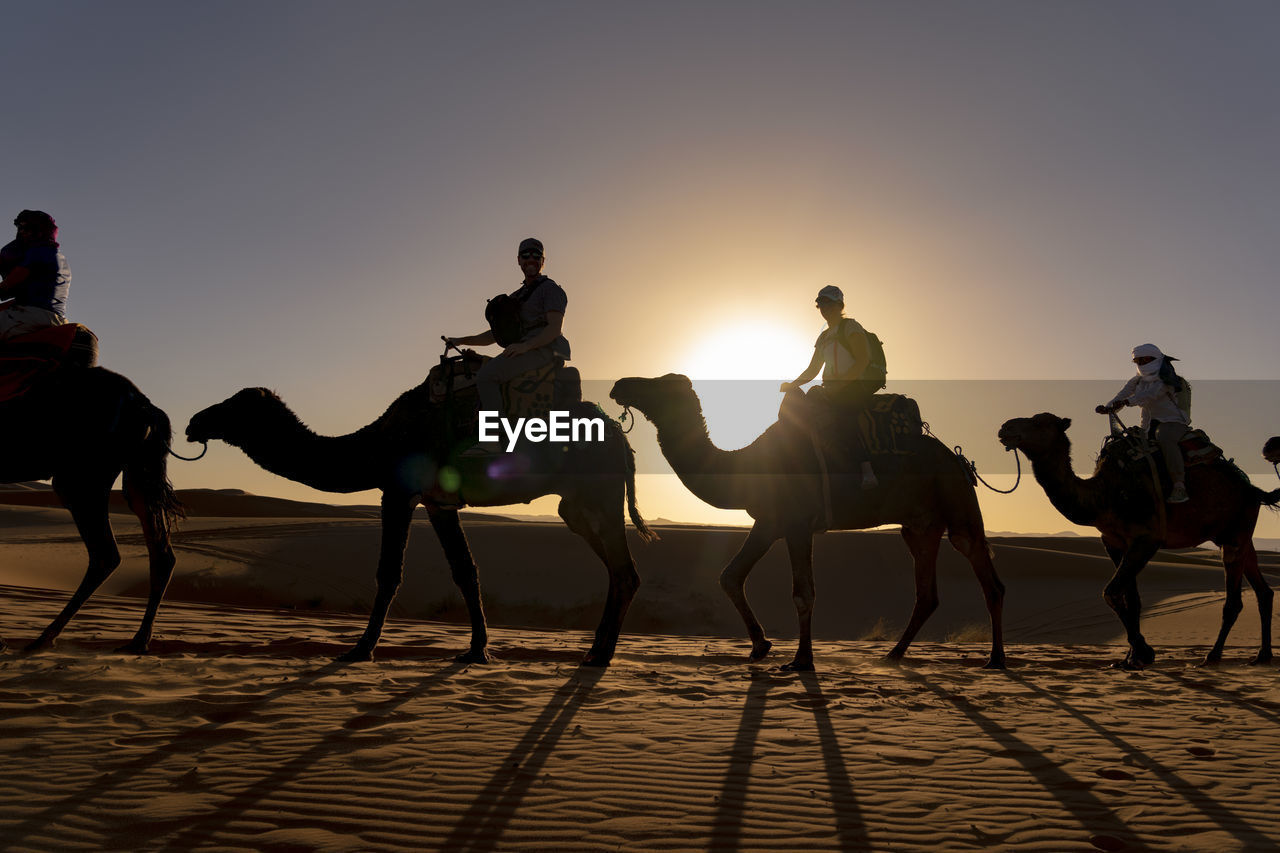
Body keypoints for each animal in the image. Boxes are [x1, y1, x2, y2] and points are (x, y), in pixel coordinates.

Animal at [0, 363, 183, 650]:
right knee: (159, 551)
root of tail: (147, 406)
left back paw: (45, 637)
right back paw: (139, 640)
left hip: (82, 476)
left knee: (105, 554)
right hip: (138, 473)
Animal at [185, 379, 655, 666]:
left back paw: (601, 655)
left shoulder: (397, 492)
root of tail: (620, 435)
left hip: (599, 493)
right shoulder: (437, 503)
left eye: (236, 405)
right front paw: (477, 650)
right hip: (576, 506)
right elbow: (465, 571)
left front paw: (361, 648)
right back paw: (595, 649)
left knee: (626, 571)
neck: (374, 444)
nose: (193, 422)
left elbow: (389, 572)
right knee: (615, 569)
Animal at [604, 376, 1003, 666]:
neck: (747, 464)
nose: (620, 384)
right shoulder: (769, 522)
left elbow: (802, 592)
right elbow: (730, 576)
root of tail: (958, 459)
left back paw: (995, 659)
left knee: (985, 574)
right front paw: (761, 646)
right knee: (926, 592)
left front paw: (801, 660)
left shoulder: (797, 523)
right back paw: (893, 654)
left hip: (956, 501)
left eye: (660, 383)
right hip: (919, 526)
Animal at [998, 412, 1280, 666]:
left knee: (1233, 601)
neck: (1105, 495)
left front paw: (1145, 651)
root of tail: (1253, 489)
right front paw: (1131, 657)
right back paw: (1262, 655)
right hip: (1235, 536)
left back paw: (1213, 656)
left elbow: (1111, 592)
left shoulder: (1147, 539)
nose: (1004, 428)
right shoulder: (1114, 543)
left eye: (1039, 422)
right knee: (1263, 591)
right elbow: (1132, 599)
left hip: (1236, 533)